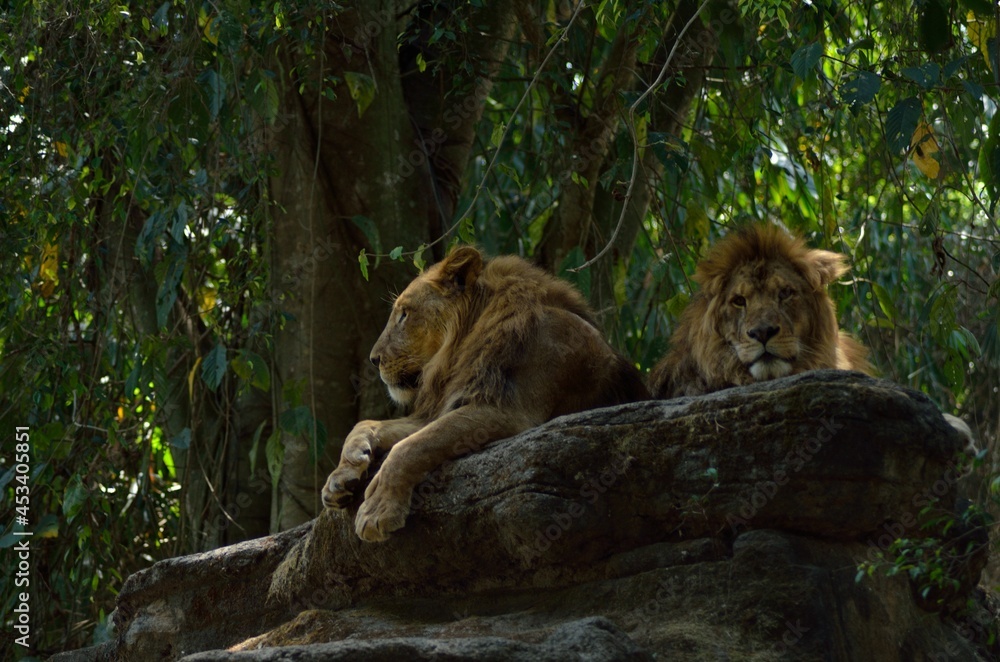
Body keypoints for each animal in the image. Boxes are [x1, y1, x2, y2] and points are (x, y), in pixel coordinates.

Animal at [322, 245, 649, 542]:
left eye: (404, 315)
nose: (373, 359)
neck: (462, 345)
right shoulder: (447, 404)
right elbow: (368, 424)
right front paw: (342, 476)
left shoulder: (506, 411)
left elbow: (412, 446)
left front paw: (377, 508)